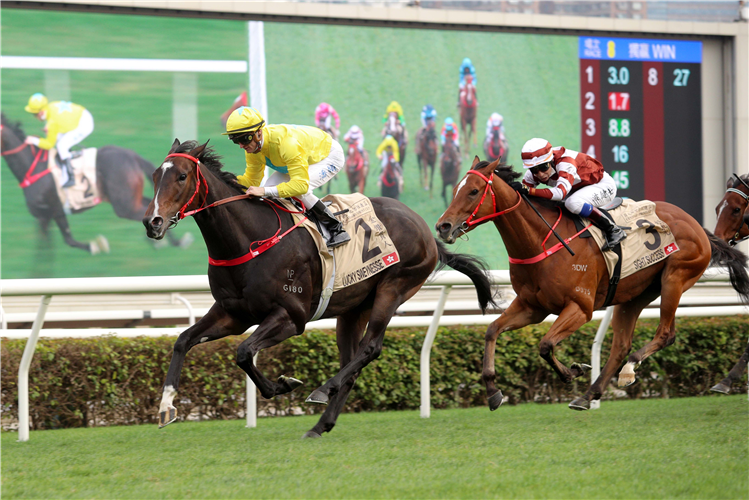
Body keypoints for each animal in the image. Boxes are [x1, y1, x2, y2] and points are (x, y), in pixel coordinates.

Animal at [0, 112, 187, 256]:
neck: (32, 168)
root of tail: (133, 156)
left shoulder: (50, 212)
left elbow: (59, 244)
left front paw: (96, 246)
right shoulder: (48, 215)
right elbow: (52, 246)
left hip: (124, 205)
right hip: (128, 198)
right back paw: (171, 242)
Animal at [144, 140, 496, 438]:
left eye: (182, 176)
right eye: (155, 175)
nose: (153, 222)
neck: (249, 240)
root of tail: (426, 228)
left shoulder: (291, 317)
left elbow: (244, 352)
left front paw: (283, 384)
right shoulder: (232, 314)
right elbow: (183, 340)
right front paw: (166, 407)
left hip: (393, 288)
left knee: (370, 348)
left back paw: (322, 390)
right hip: (354, 308)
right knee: (352, 361)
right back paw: (320, 425)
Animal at [432, 158, 748, 412]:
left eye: (473, 191)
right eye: (457, 188)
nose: (443, 226)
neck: (540, 239)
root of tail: (698, 227)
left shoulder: (580, 307)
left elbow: (545, 344)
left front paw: (573, 371)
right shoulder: (531, 307)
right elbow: (491, 331)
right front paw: (493, 391)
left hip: (676, 278)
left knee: (665, 334)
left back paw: (628, 370)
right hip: (635, 294)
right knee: (620, 344)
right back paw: (588, 395)